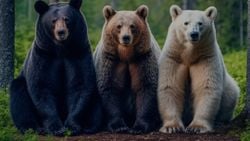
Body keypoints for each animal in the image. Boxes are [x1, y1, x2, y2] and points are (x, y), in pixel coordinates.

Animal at [9, 0, 101, 137]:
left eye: (66, 19)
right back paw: (33, 128)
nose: (61, 32)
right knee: (19, 95)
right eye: (53, 20)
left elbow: (80, 85)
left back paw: (90, 127)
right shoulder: (44, 55)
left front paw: (72, 126)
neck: (61, 50)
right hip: (21, 82)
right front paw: (56, 128)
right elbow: (42, 86)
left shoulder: (78, 53)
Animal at [94, 4, 162, 134]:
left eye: (132, 26)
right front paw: (119, 126)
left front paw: (138, 127)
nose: (126, 37)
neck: (126, 54)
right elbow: (109, 86)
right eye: (118, 26)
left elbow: (145, 86)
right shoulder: (111, 59)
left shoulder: (142, 58)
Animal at [158, 4, 240, 134]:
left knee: (231, 95)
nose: (194, 34)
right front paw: (172, 127)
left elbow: (206, 86)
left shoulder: (205, 58)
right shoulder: (174, 57)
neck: (189, 54)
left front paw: (196, 127)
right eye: (186, 23)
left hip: (229, 90)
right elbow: (170, 86)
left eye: (200, 23)